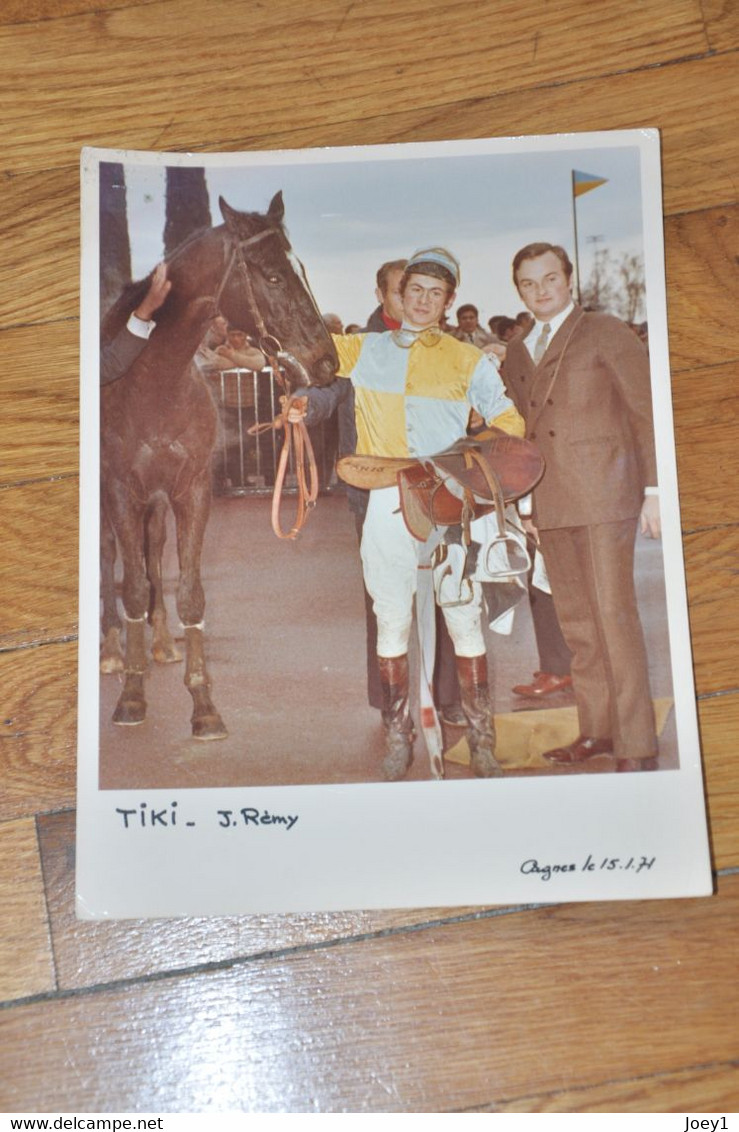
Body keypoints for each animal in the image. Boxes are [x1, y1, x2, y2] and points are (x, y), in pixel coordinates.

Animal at [99, 192, 334, 742]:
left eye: (298, 268)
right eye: (272, 276)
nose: (326, 361)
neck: (152, 379)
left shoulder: (190, 491)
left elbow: (189, 593)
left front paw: (204, 705)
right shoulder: (121, 491)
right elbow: (132, 588)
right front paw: (132, 697)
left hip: (156, 505)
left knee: (152, 554)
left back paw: (161, 643)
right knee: (109, 562)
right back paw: (112, 651)